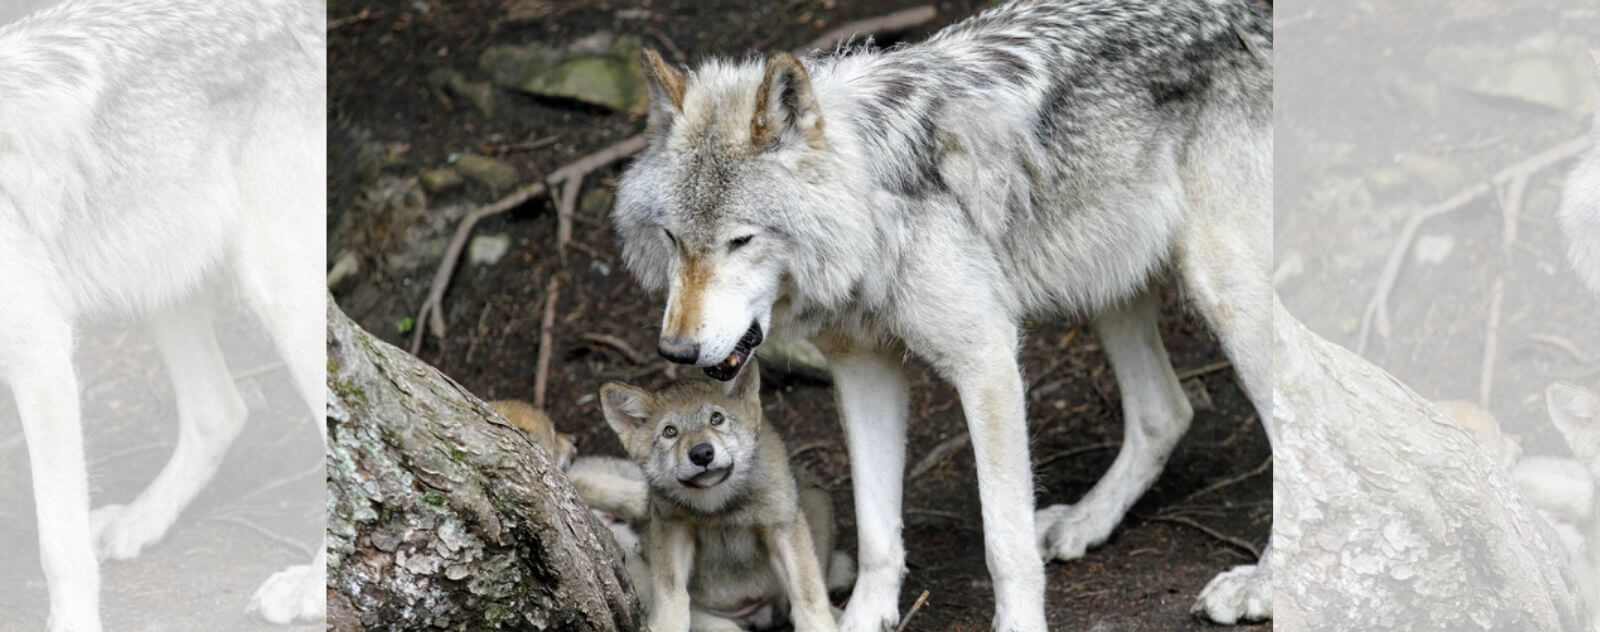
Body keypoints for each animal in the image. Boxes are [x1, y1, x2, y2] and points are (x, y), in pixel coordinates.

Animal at [0, 0, 324, 627]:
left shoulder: (40, 351)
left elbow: (58, 544)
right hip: (162, 276)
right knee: (220, 412)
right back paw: (139, 522)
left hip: (278, 289)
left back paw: (313, 587)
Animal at [601, 366, 851, 632]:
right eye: (670, 432)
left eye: (716, 418)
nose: (702, 453)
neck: (719, 506)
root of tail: (754, 612)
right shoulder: (671, 527)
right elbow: (671, 593)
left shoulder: (782, 524)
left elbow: (807, 592)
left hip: (816, 499)